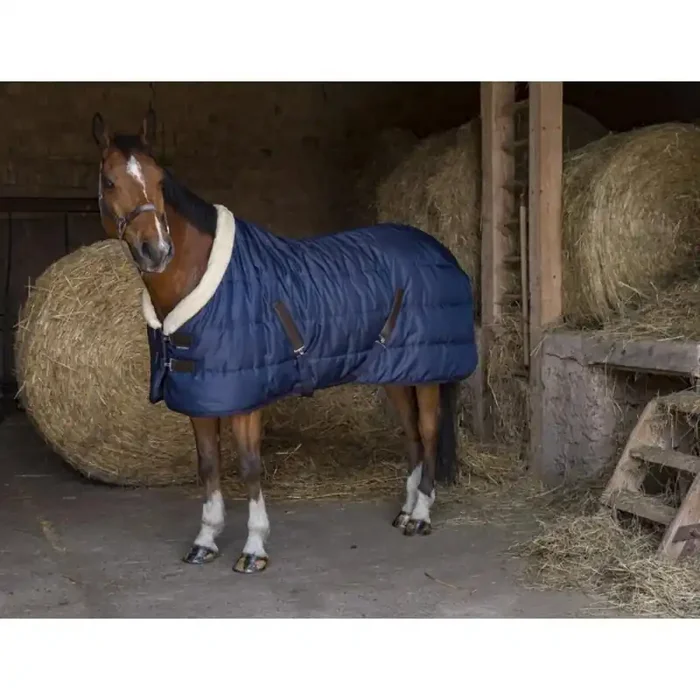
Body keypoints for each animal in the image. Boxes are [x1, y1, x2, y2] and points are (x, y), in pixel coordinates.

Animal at [91, 110, 478, 575]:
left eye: (160, 179)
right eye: (110, 181)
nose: (156, 249)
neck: (206, 279)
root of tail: (439, 249)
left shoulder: (245, 399)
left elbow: (249, 467)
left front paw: (254, 548)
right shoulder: (202, 395)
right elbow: (208, 465)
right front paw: (205, 540)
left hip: (427, 373)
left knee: (430, 431)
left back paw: (420, 516)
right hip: (397, 374)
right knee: (413, 436)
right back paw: (405, 511)